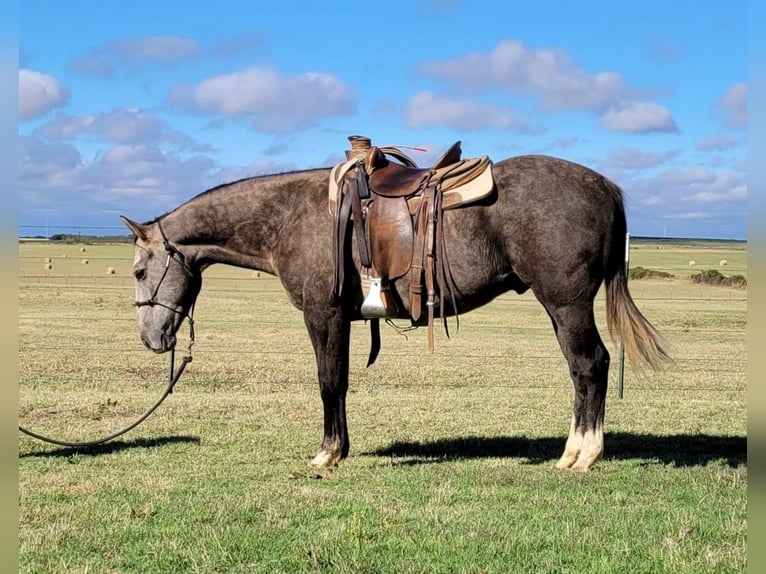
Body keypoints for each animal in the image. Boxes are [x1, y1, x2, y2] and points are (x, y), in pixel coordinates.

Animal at [121, 152, 672, 472]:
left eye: (140, 271)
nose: (152, 339)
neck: (290, 217)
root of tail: (604, 187)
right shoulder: (341, 319)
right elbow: (340, 382)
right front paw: (340, 448)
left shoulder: (322, 314)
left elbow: (329, 381)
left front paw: (327, 453)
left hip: (566, 303)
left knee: (589, 366)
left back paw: (581, 454)